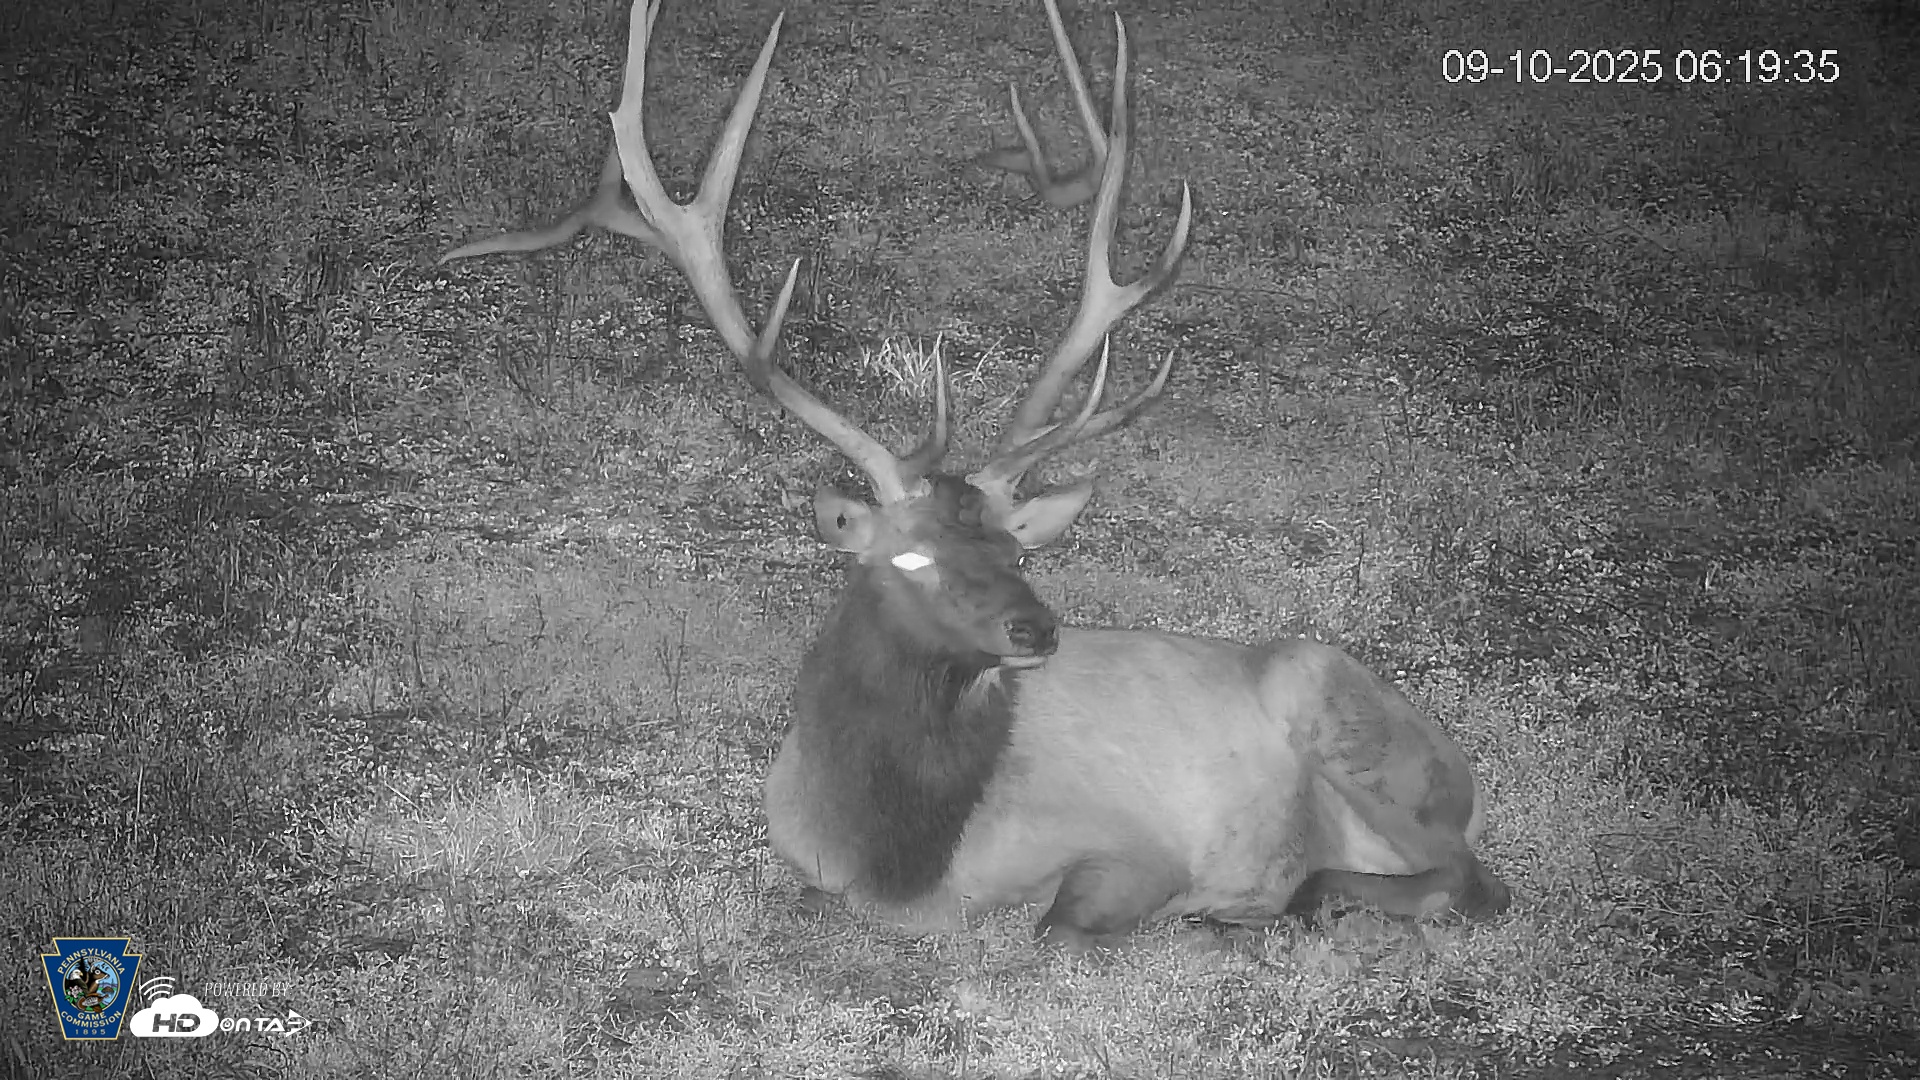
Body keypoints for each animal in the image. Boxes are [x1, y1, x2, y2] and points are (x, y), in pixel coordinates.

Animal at [441, 0, 1511, 950]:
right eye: (911, 558)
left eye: (1013, 547)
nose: (1036, 629)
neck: (898, 861)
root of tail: (1460, 767)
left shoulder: (1136, 841)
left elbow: (1061, 928)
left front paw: (1217, 916)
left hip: (1349, 731)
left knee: (1469, 881)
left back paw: (1293, 907)